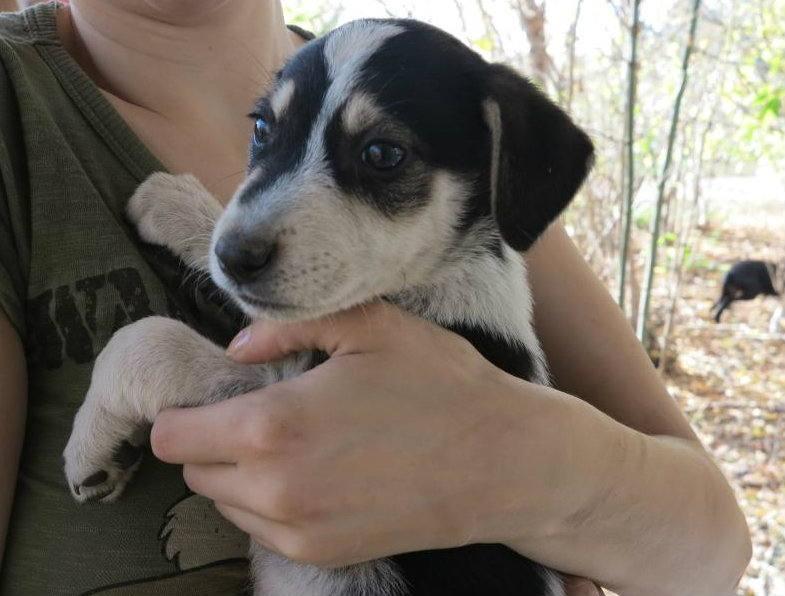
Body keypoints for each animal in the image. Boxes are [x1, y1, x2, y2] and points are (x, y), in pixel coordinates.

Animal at [66, 18, 596, 596]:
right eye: (262, 128)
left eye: (382, 154)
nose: (233, 256)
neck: (434, 274)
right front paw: (174, 203)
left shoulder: (290, 398)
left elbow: (147, 340)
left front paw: (92, 448)